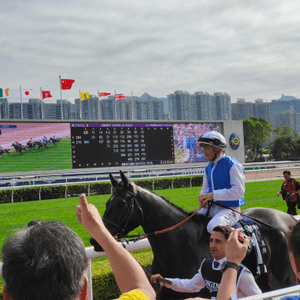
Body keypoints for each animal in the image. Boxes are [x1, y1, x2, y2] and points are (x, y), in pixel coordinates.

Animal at [94, 172, 298, 298]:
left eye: (121, 203)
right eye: (107, 202)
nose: (94, 241)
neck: (179, 245)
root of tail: (288, 218)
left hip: (285, 278)